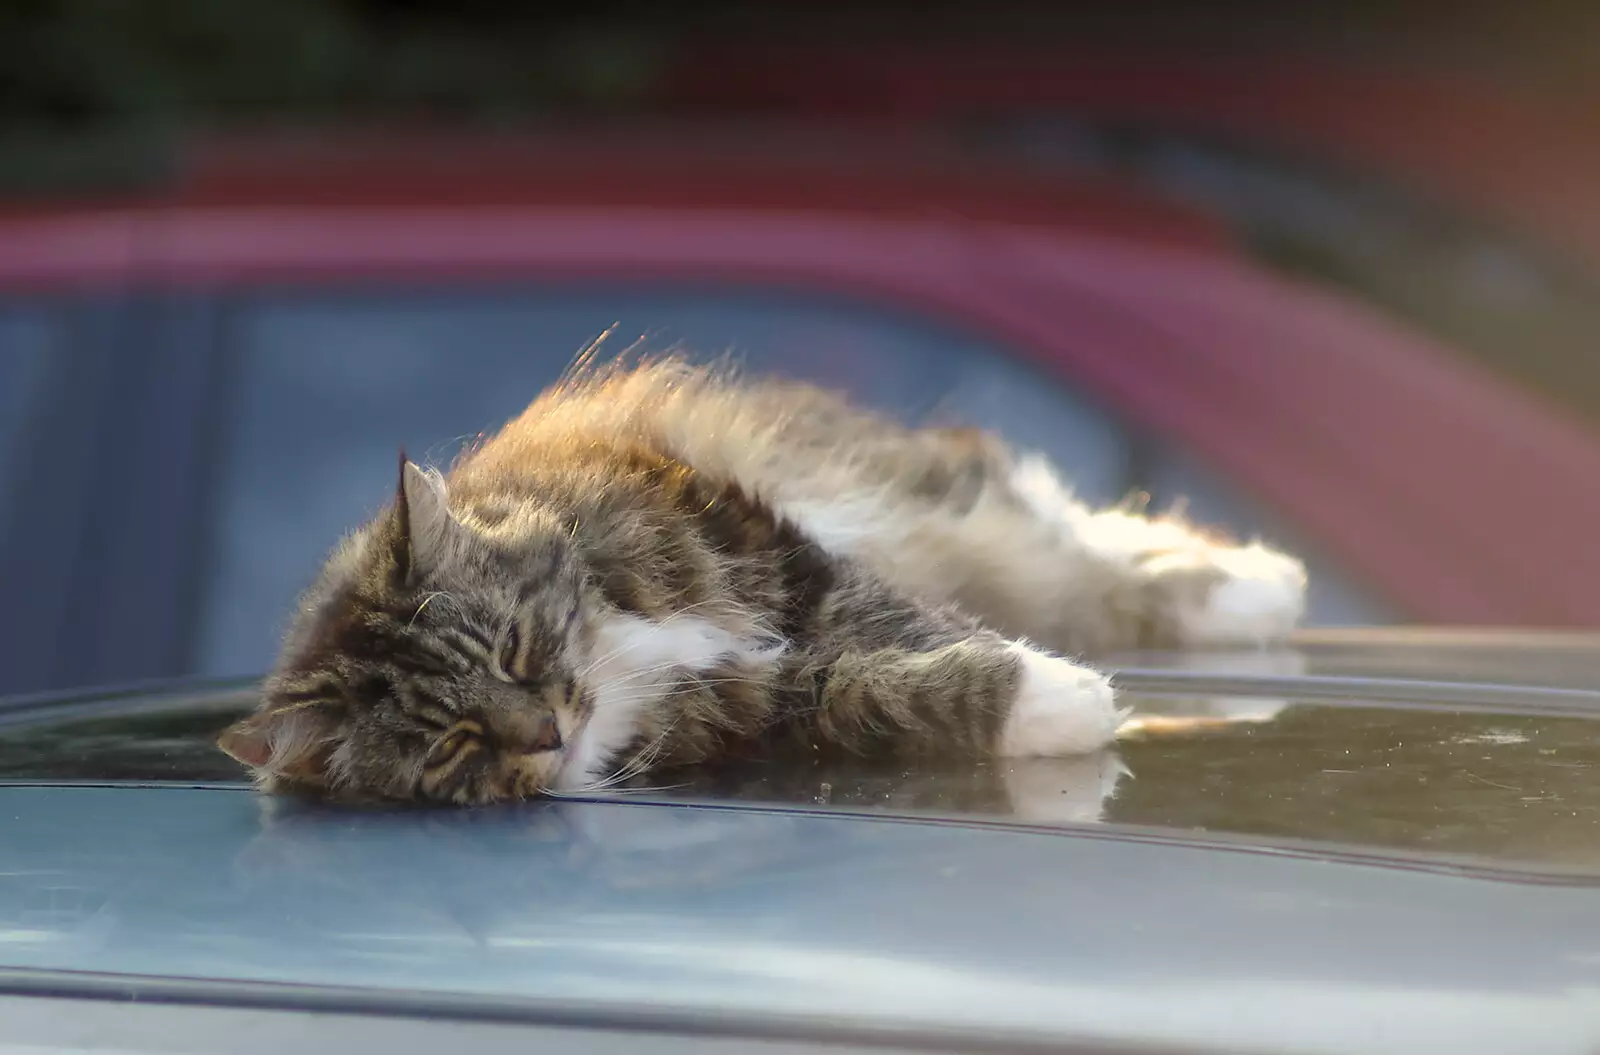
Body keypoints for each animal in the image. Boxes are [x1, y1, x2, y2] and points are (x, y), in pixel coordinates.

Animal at [219, 358, 1305, 803]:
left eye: (517, 651)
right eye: (452, 744)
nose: (547, 734)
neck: (614, 650)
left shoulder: (778, 550)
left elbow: (911, 621)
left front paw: (1055, 683)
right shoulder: (746, 698)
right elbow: (868, 690)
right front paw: (1051, 700)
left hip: (921, 493)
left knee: (1059, 528)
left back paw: (1254, 583)